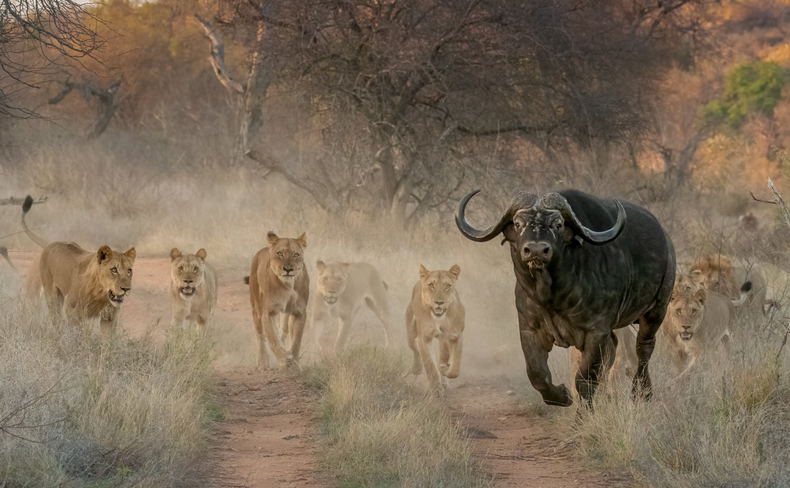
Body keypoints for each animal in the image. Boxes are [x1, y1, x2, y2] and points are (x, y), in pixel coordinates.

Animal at [21, 196, 135, 333]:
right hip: (52, 297)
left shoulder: (109, 317)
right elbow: (76, 335)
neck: (101, 293)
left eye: (129, 271)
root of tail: (51, 243)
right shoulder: (72, 312)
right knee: (56, 320)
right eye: (114, 270)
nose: (126, 289)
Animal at [248, 231, 309, 369]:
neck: (288, 285)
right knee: (260, 335)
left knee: (284, 331)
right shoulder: (267, 313)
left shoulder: (300, 312)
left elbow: (296, 340)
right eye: (280, 253)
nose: (288, 269)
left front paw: (294, 362)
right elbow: (273, 340)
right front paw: (283, 359)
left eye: (296, 254)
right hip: (256, 308)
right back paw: (263, 362)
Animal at [456, 189, 675, 407]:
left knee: (644, 348)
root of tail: (666, 242)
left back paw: (642, 392)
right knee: (613, 349)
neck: (554, 297)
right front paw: (562, 396)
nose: (536, 250)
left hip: (657, 309)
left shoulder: (596, 331)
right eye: (518, 224)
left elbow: (584, 380)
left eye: (558, 224)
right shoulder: (529, 328)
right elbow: (537, 374)